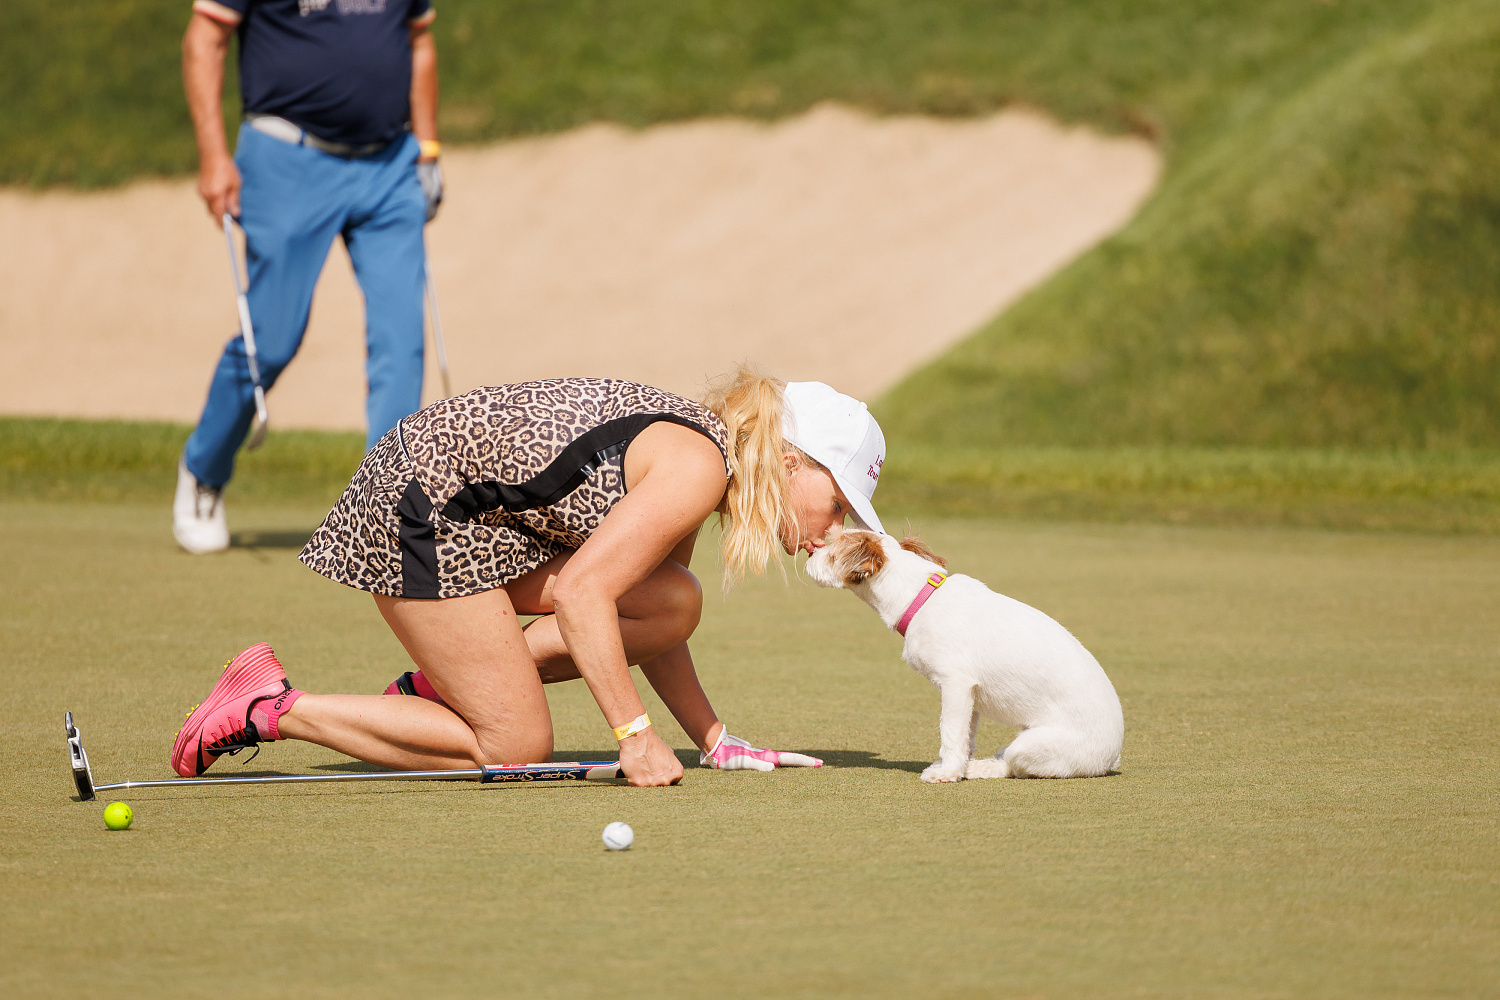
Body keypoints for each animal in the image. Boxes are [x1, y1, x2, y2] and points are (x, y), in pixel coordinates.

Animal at [810, 527, 1116, 785]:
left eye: (832, 549)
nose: (811, 553)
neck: (921, 597)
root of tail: (1112, 757)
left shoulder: (955, 685)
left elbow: (950, 732)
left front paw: (948, 773)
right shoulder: (970, 696)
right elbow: (965, 735)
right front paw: (955, 766)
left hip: (1031, 744)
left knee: (1012, 766)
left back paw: (980, 768)